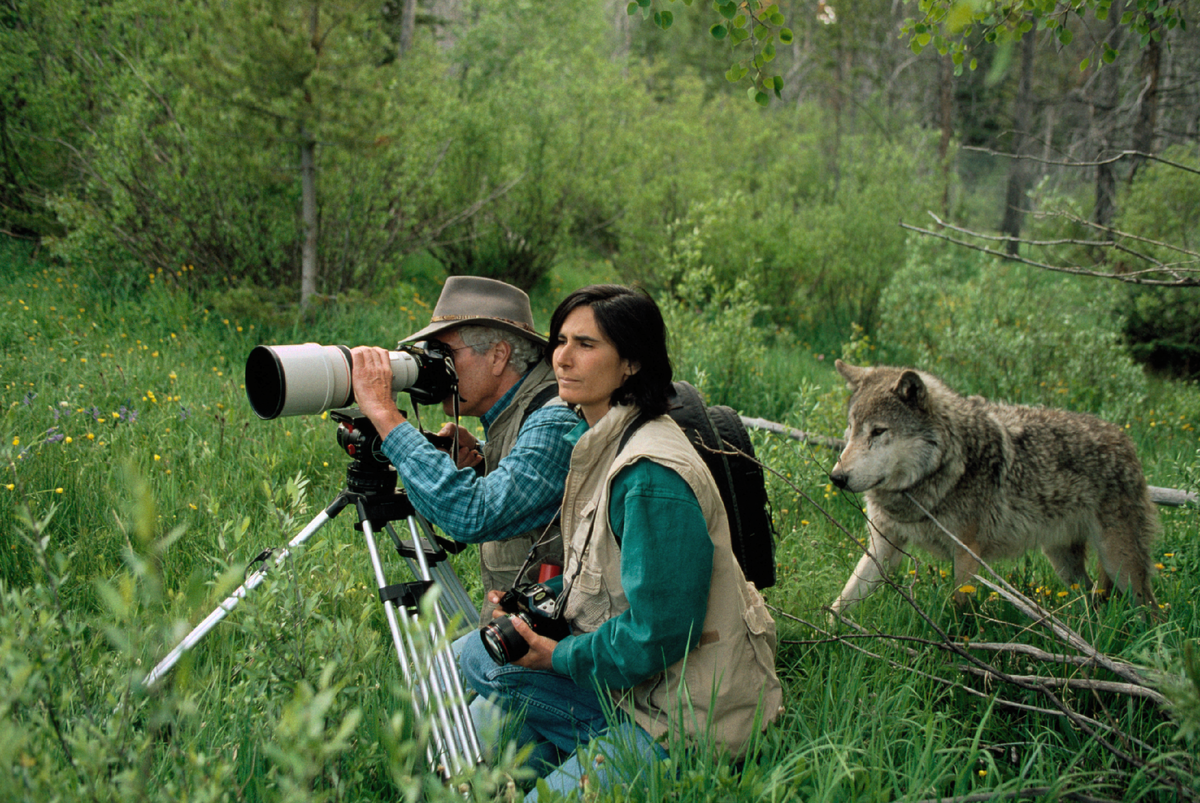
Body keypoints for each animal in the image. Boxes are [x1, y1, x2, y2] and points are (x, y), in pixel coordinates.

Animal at [830, 360, 1156, 619]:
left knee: (1150, 609)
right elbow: (841, 601)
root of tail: (1126, 440)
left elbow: (959, 609)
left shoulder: (966, 552)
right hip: (1063, 561)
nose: (836, 477)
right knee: (1092, 597)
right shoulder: (883, 546)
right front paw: (827, 638)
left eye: (878, 431)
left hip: (1120, 564)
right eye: (852, 427)